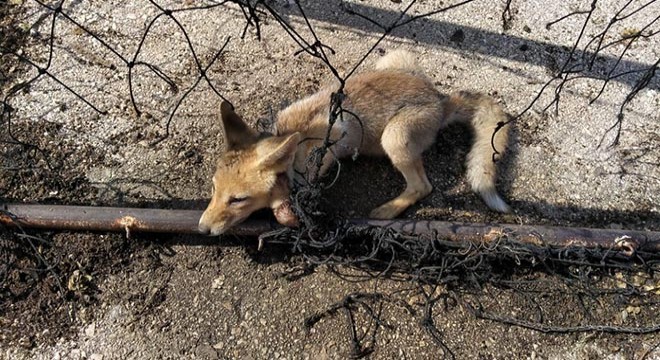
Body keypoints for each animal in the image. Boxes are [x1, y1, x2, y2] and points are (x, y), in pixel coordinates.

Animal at [199, 50, 512, 236]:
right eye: (213, 190)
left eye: (238, 199)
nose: (201, 229)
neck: (298, 142)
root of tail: (439, 100)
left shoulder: (333, 139)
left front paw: (285, 206)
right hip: (392, 59)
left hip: (394, 138)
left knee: (423, 187)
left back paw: (387, 211)